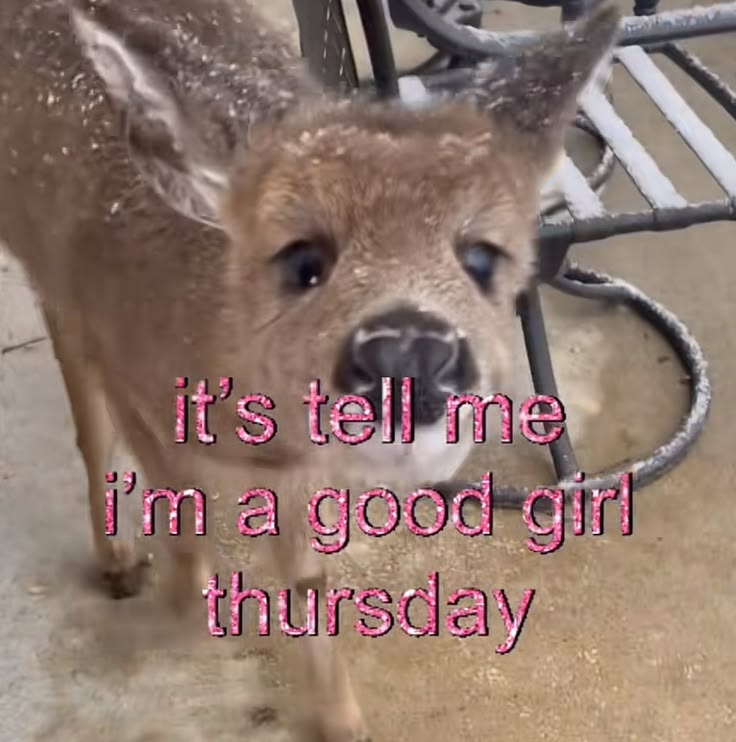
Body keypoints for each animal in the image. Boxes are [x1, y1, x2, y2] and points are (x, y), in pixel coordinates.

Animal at [0, 0, 620, 739]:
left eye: (482, 258)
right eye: (302, 259)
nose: (408, 350)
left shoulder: (297, 471)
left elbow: (307, 579)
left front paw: (340, 718)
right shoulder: (115, 355)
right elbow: (171, 511)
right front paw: (166, 603)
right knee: (86, 419)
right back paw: (118, 561)